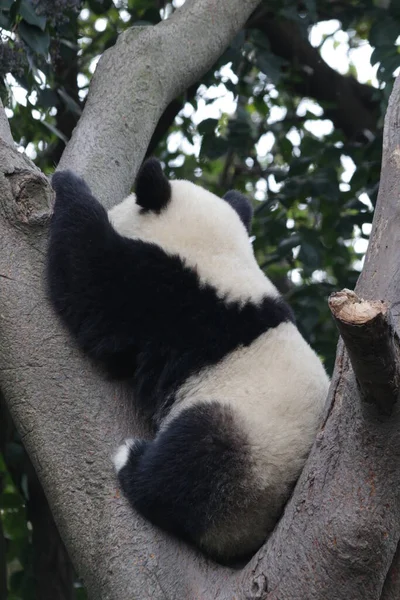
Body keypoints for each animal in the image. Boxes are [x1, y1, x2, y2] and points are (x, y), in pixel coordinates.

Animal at [46, 158, 328, 564]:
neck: (216, 254)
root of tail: (250, 540)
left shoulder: (167, 296)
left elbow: (87, 277)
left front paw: (66, 184)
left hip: (253, 451)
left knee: (198, 455)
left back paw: (133, 462)